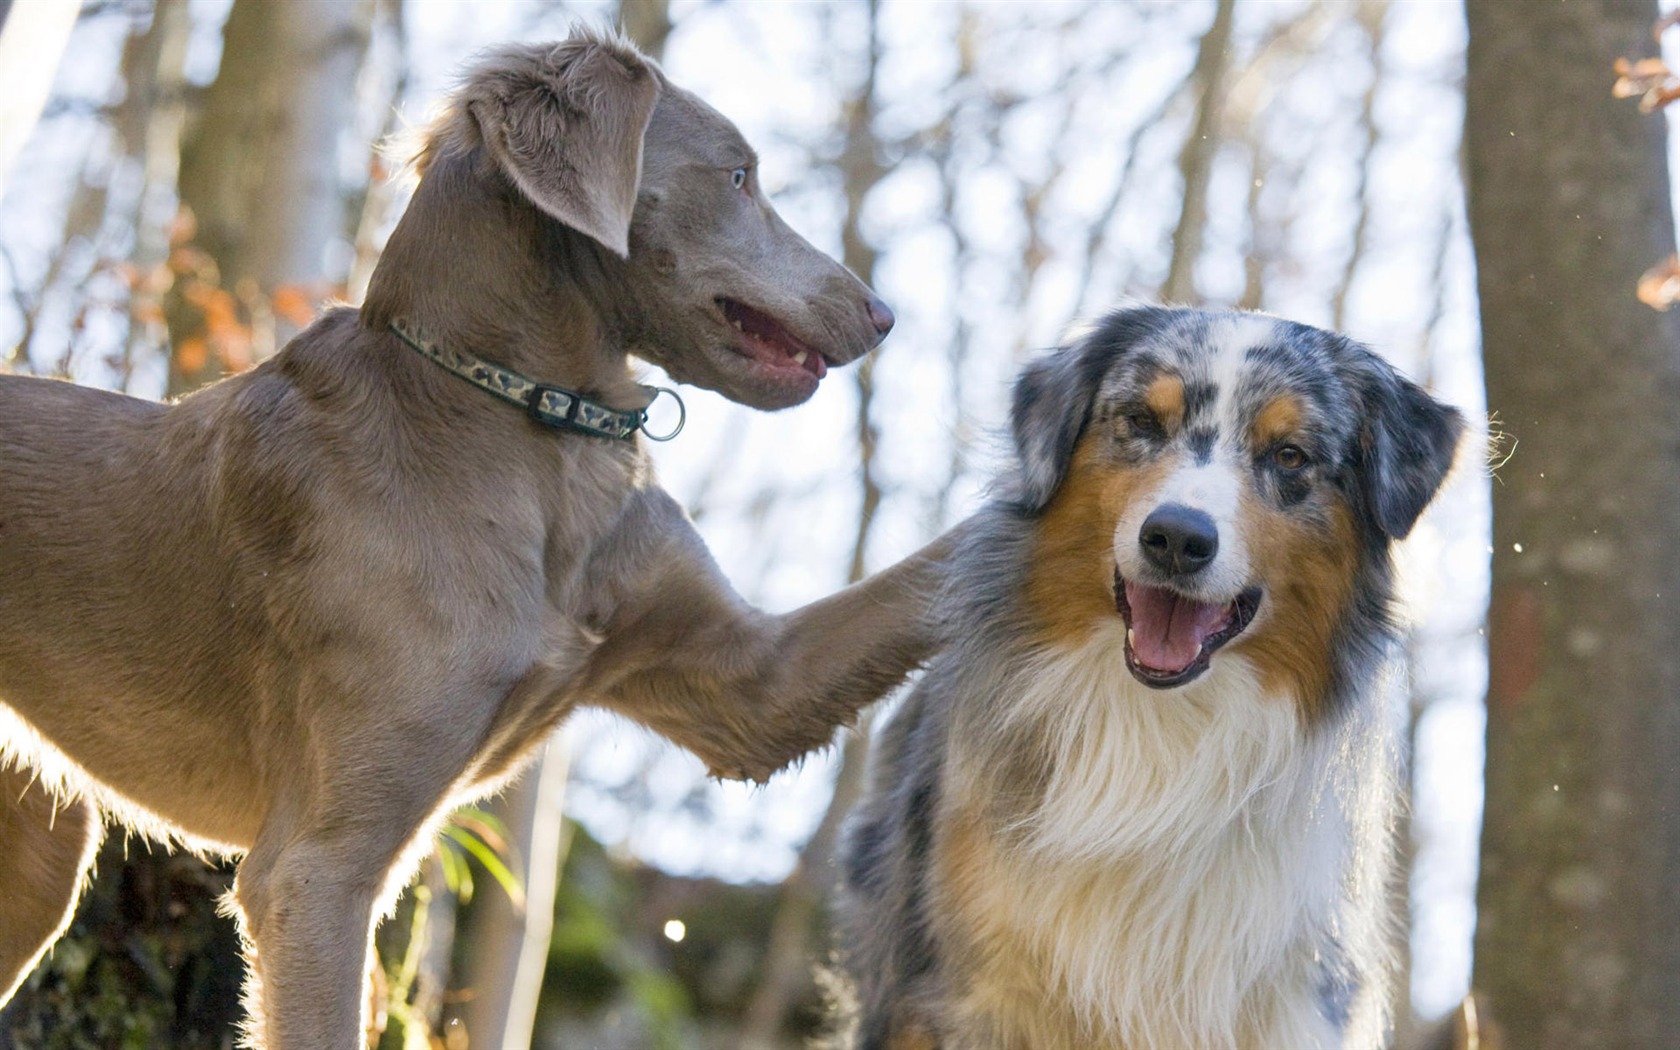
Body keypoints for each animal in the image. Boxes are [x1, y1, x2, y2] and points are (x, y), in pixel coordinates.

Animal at [0, 28, 947, 1041]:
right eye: (738, 174)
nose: (886, 316)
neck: (520, 422)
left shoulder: (747, 686)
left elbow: (932, 573)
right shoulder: (315, 868)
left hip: (38, 857)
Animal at [836, 302, 1458, 1048]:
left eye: (1289, 455)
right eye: (1140, 422)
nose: (1178, 539)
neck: (1162, 727)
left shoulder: (1299, 993)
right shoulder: (969, 989)